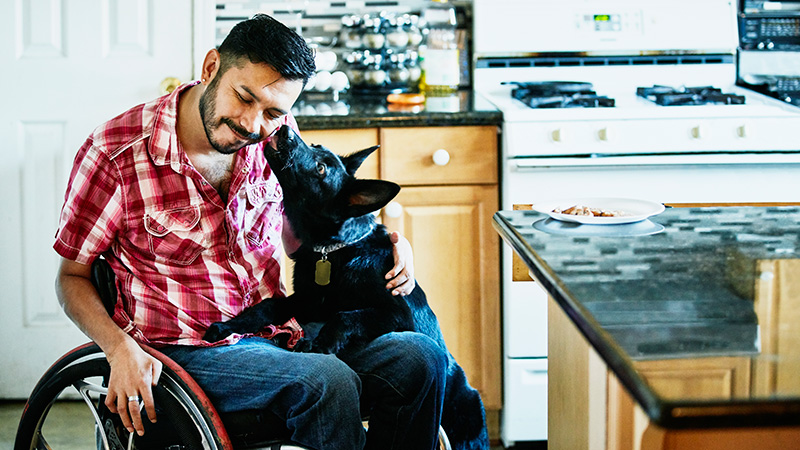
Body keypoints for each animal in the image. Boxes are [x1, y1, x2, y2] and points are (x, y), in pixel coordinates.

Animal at [203, 125, 490, 450]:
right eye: (315, 145)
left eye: (321, 168)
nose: (286, 129)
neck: (334, 251)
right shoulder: (306, 301)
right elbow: (268, 306)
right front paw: (229, 327)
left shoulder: (396, 312)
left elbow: (346, 316)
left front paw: (318, 344)